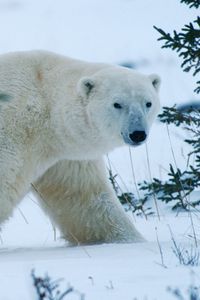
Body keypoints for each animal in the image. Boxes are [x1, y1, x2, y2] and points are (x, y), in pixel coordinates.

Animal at [0, 51, 161, 244]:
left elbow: (85, 199)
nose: (137, 133)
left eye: (148, 103)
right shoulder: (12, 135)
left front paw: (132, 240)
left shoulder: (66, 158)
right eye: (117, 104)